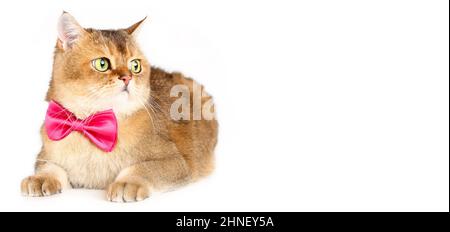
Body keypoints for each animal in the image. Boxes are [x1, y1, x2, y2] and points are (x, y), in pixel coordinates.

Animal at [21, 11, 218, 202]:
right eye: (102, 63)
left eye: (135, 65)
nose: (127, 77)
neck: (90, 125)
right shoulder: (44, 154)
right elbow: (48, 166)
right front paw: (40, 178)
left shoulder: (176, 161)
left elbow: (144, 168)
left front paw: (127, 183)